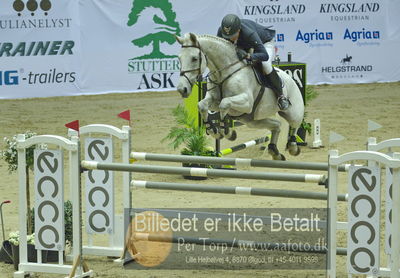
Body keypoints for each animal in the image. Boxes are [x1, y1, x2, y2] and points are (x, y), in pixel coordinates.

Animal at [175, 32, 304, 160]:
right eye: (179, 59)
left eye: (194, 58)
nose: (182, 89)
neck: (224, 73)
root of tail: (290, 78)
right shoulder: (214, 100)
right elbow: (202, 105)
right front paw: (214, 131)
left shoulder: (247, 102)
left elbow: (224, 104)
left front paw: (227, 132)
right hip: (253, 121)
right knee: (277, 125)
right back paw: (274, 152)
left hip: (293, 113)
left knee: (295, 125)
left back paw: (293, 147)